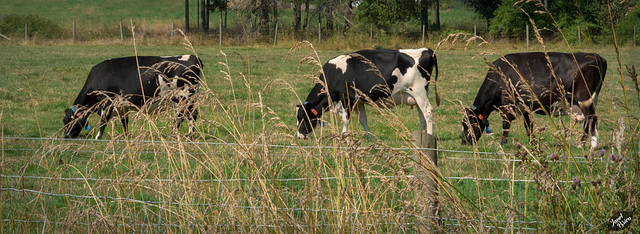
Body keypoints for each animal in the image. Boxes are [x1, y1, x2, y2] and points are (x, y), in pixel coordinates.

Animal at [62, 54, 202, 139]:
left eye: (68, 121)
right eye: (64, 121)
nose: (65, 136)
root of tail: (193, 57)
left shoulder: (106, 103)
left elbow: (103, 121)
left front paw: (98, 137)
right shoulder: (122, 106)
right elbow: (124, 122)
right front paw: (126, 137)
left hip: (183, 96)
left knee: (188, 115)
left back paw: (186, 136)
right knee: (185, 115)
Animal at [296, 48, 438, 139]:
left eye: (303, 117)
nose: (299, 136)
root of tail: (427, 50)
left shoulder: (346, 98)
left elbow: (345, 120)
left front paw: (343, 136)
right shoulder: (359, 100)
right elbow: (363, 119)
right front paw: (369, 136)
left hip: (419, 91)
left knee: (428, 112)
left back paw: (430, 136)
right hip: (418, 95)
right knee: (422, 116)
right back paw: (421, 135)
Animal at [462, 52, 608, 149]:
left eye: (468, 123)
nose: (464, 142)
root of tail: (595, 56)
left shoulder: (507, 103)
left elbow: (506, 124)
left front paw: (502, 143)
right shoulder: (525, 106)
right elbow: (528, 126)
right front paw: (532, 143)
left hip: (584, 99)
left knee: (592, 120)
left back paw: (589, 145)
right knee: (588, 122)